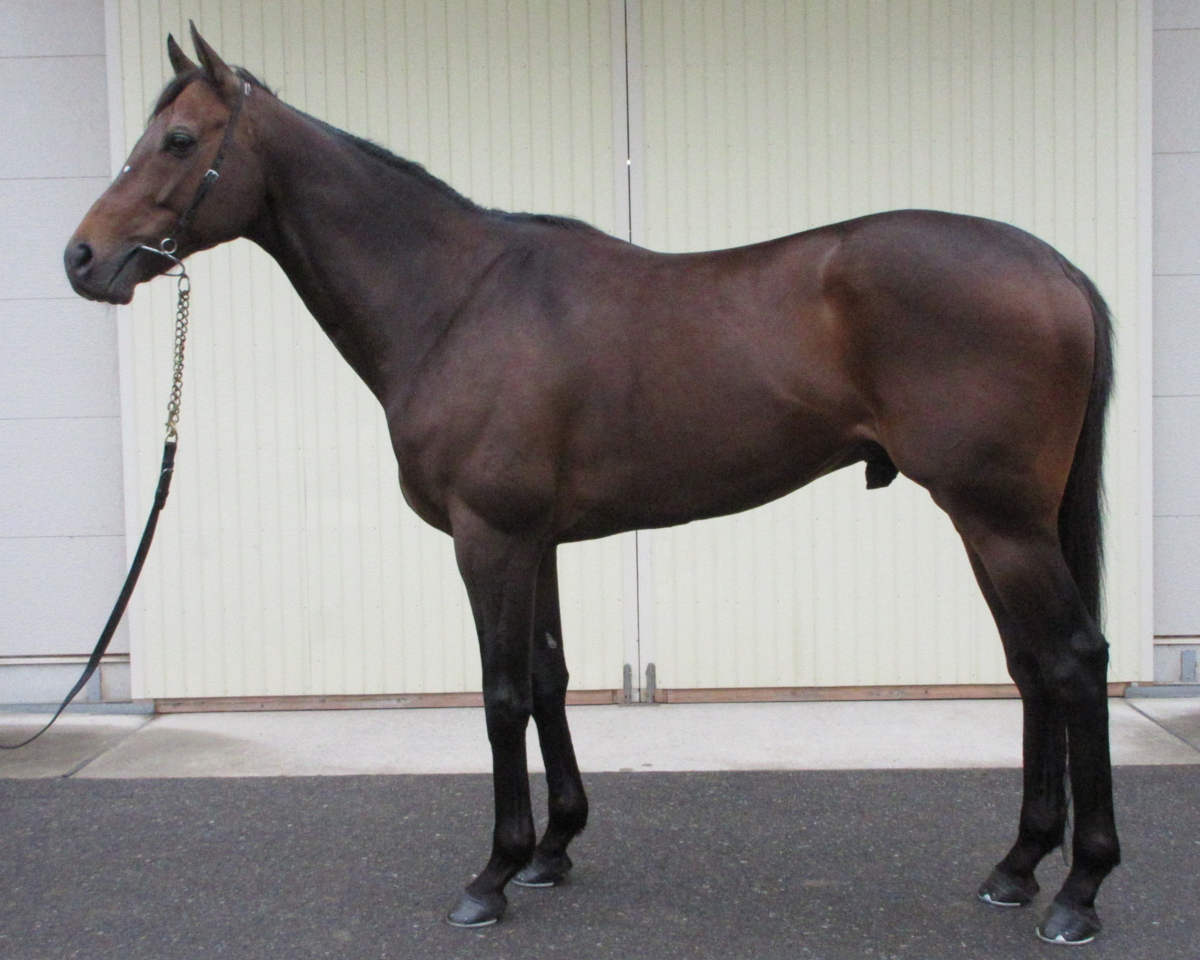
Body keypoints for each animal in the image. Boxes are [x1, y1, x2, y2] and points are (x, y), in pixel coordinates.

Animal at [66, 26, 1118, 944]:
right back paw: (1016, 868)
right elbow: (548, 677)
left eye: (180, 140)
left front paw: (493, 874)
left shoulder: (488, 537)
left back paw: (1079, 892)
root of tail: (1055, 267)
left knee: (1074, 661)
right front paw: (553, 850)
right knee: (1032, 668)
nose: (81, 258)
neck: (454, 299)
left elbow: (498, 694)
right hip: (995, 523)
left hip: (999, 520)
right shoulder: (537, 542)